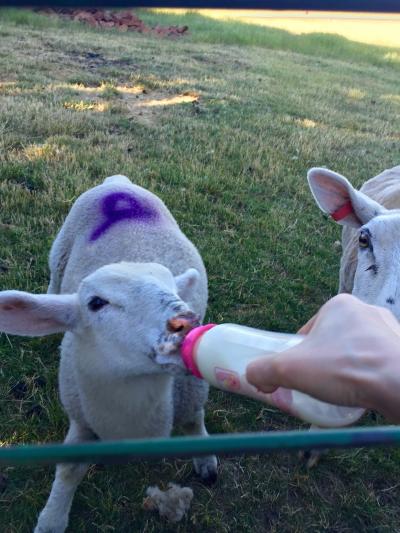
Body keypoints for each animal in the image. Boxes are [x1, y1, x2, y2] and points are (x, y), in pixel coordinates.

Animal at [0, 172, 217, 528]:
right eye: (96, 303)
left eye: (171, 286)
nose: (186, 321)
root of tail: (118, 182)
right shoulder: (81, 416)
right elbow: (69, 470)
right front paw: (52, 519)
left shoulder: (191, 393)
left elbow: (194, 422)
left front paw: (206, 460)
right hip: (60, 248)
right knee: (54, 278)